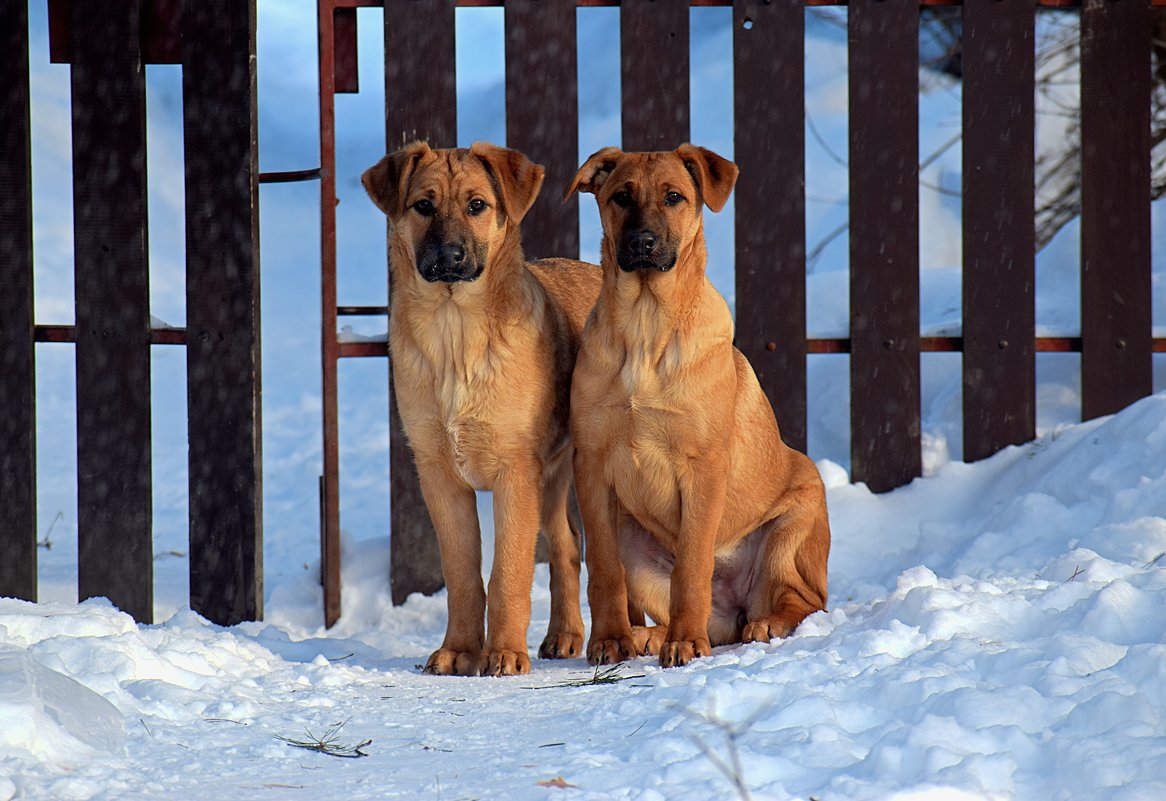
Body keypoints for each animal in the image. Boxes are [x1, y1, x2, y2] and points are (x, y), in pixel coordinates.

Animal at [361, 141, 601, 671]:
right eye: (423, 206)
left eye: (477, 205)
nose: (449, 256)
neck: (455, 334)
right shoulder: (440, 476)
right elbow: (463, 575)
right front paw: (459, 651)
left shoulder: (515, 472)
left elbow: (508, 571)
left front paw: (505, 653)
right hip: (552, 480)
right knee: (567, 547)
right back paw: (564, 635)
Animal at [562, 145, 830, 671]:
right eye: (620, 196)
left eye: (674, 197)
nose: (642, 242)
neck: (645, 324)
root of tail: (736, 607)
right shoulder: (593, 468)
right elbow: (602, 569)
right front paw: (611, 640)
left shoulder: (702, 469)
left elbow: (691, 566)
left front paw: (684, 644)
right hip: (635, 545)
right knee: (710, 619)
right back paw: (650, 635)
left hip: (793, 526)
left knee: (807, 601)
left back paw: (762, 625)